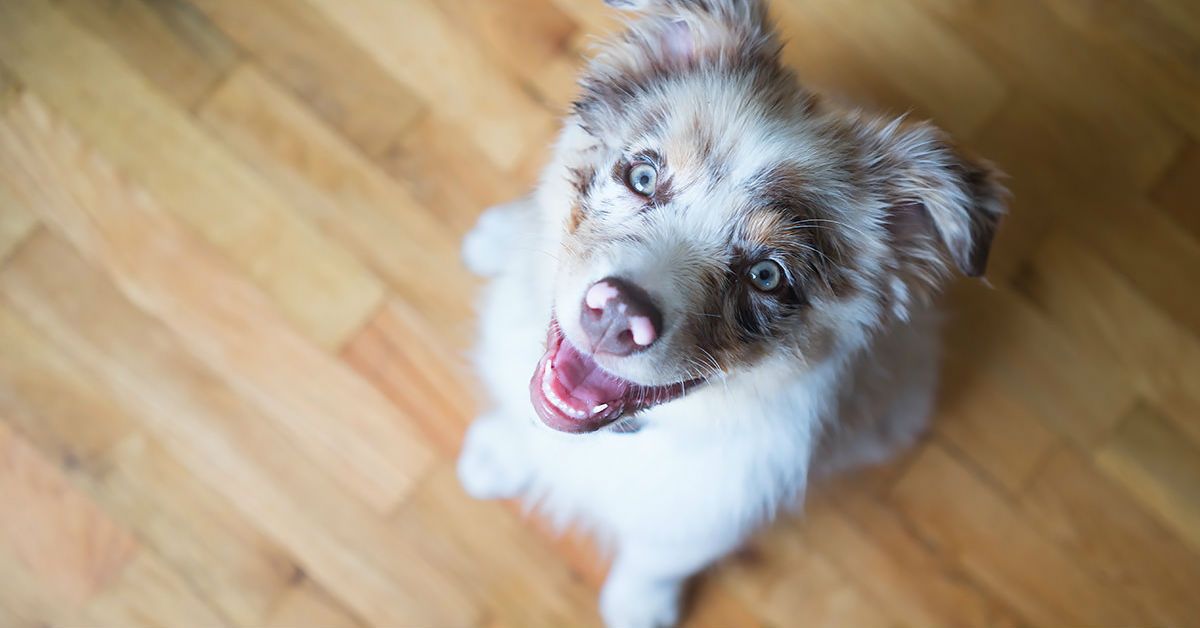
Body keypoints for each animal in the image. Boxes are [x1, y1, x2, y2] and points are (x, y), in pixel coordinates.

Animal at [456, 2, 1003, 624]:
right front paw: (499, 454)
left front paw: (639, 606)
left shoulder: (711, 515)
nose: (618, 314)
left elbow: (659, 559)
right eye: (642, 176)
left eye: (768, 275)